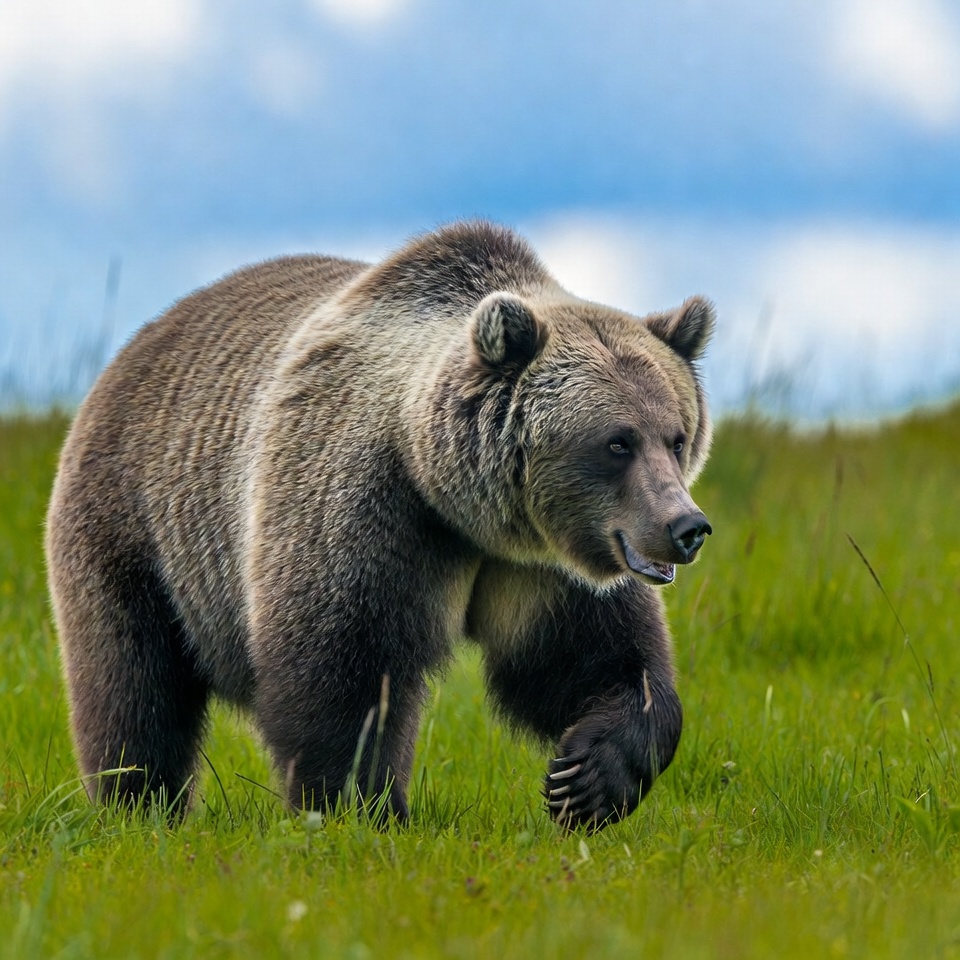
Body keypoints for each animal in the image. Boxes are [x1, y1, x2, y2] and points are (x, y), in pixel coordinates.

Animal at [45, 221, 714, 830]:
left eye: (676, 436)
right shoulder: (364, 502)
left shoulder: (543, 563)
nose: (686, 526)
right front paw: (359, 809)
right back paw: (137, 803)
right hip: (137, 524)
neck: (458, 503)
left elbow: (596, 661)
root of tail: (137, 344)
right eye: (617, 442)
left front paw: (585, 780)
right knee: (133, 682)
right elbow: (345, 669)